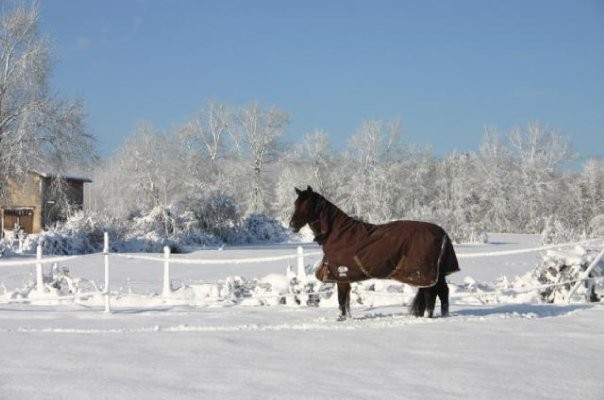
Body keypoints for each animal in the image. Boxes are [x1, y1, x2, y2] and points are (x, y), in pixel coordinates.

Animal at [290, 186, 460, 320]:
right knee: (443, 292)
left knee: (431, 294)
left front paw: (341, 318)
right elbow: (346, 300)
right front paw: (347, 318)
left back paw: (428, 317)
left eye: (307, 205)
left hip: (425, 274)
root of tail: (442, 233)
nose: (292, 225)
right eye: (296, 203)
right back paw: (444, 315)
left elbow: (341, 299)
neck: (339, 234)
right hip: (436, 274)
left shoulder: (341, 276)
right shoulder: (346, 277)